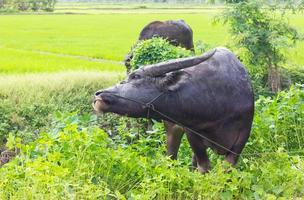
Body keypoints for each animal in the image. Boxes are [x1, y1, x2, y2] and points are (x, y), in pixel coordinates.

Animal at [95, 47, 254, 173]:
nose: (98, 96)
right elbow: (204, 167)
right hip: (172, 129)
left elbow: (226, 169)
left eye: (135, 76)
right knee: (171, 156)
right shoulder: (192, 133)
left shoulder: (241, 138)